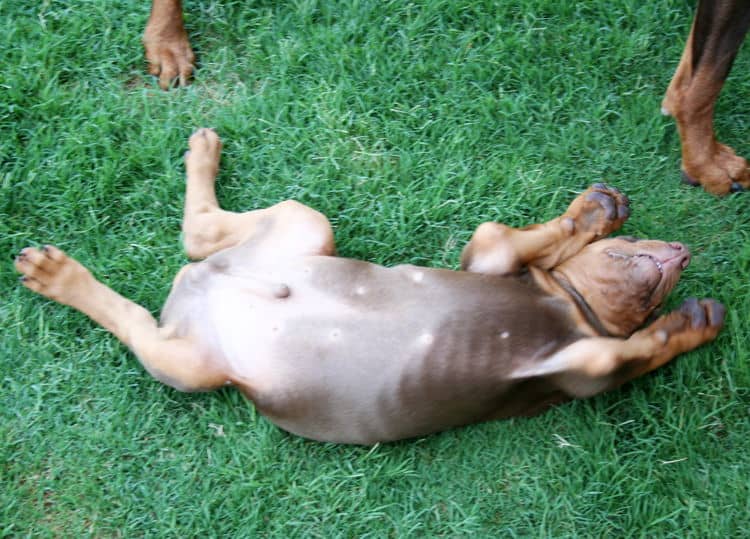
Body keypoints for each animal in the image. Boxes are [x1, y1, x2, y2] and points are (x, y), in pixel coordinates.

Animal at [13, 129, 728, 446]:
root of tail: (195, 293)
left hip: (240, 297)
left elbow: (637, 348)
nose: (683, 254)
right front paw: (596, 214)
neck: (571, 308)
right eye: (645, 269)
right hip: (198, 351)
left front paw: (694, 323)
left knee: (190, 247)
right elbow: (516, 234)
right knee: (153, 292)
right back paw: (61, 274)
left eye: (658, 292)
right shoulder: (495, 261)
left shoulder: (587, 354)